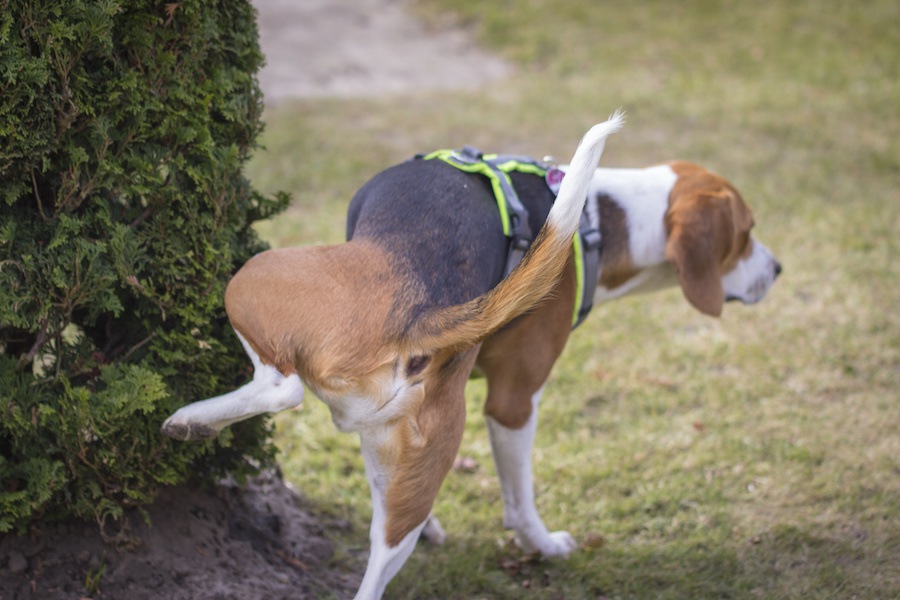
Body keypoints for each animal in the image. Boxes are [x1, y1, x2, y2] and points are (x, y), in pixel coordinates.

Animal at [162, 113, 780, 600]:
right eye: (747, 233)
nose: (777, 269)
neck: (599, 219)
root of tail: (418, 316)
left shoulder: (513, 401)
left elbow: (519, 503)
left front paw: (541, 543)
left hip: (249, 277)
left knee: (281, 388)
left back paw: (190, 420)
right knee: (381, 556)